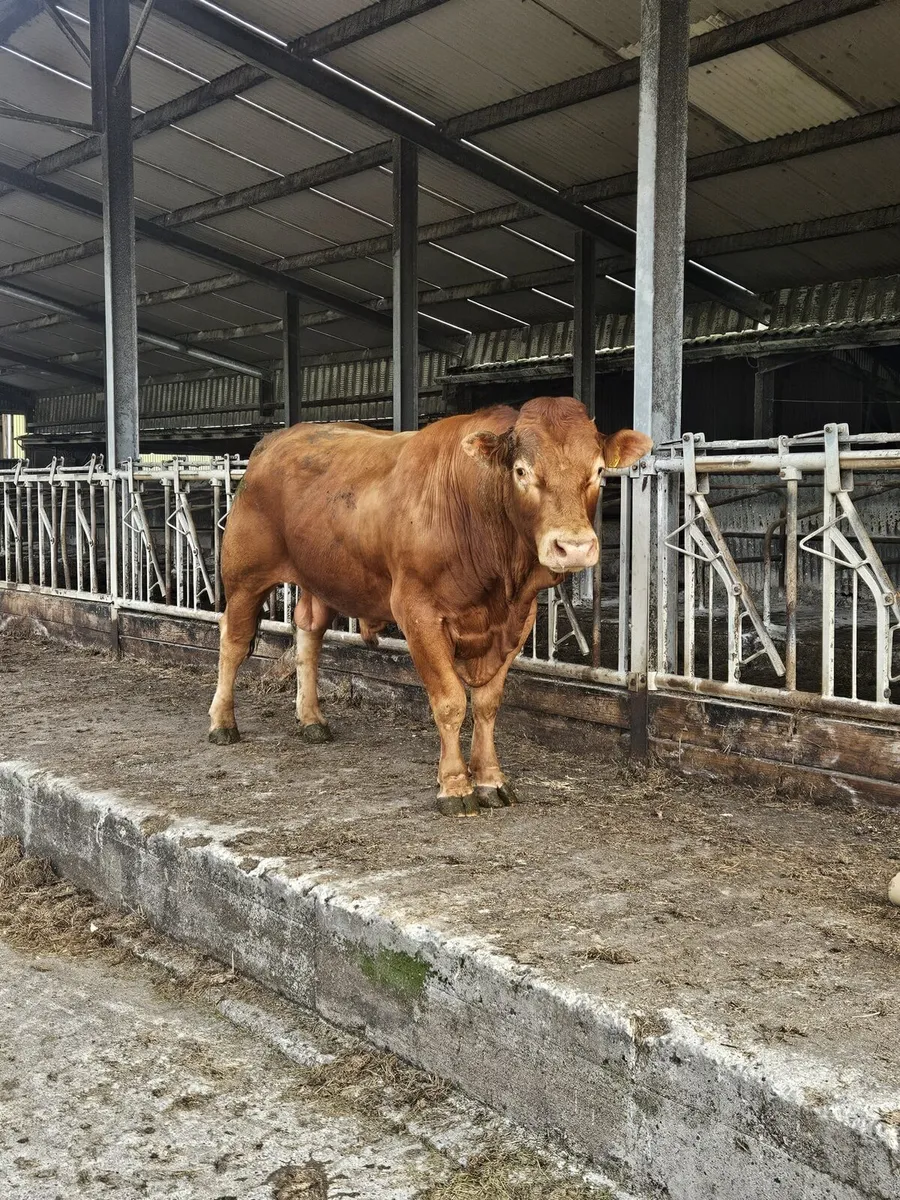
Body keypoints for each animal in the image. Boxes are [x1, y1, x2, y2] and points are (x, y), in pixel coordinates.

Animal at [208, 397, 651, 815]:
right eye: (522, 472)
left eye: (598, 471)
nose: (573, 546)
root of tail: (276, 440)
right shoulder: (418, 613)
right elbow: (451, 701)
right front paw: (454, 786)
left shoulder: (519, 619)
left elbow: (488, 704)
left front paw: (490, 779)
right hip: (245, 575)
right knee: (233, 640)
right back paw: (222, 723)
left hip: (319, 574)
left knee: (309, 634)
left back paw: (312, 719)